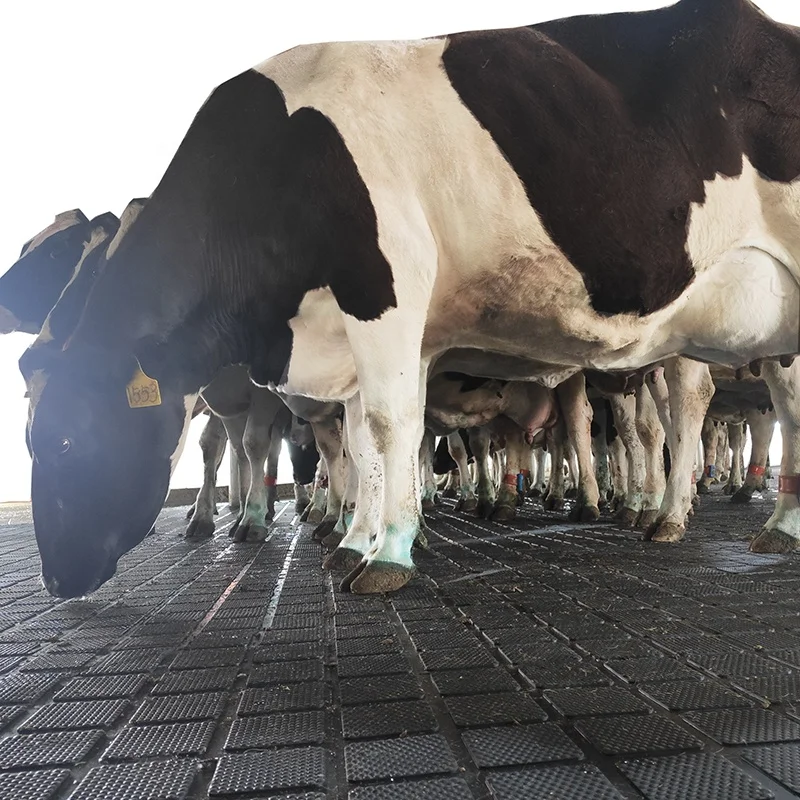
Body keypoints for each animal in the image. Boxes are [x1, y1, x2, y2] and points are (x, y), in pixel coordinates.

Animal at [19, 0, 800, 597]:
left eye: (65, 439)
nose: (56, 580)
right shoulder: (368, 336)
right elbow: (365, 438)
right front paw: (358, 538)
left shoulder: (385, 289)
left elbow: (391, 426)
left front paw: (387, 553)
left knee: (703, 413)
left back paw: (697, 516)